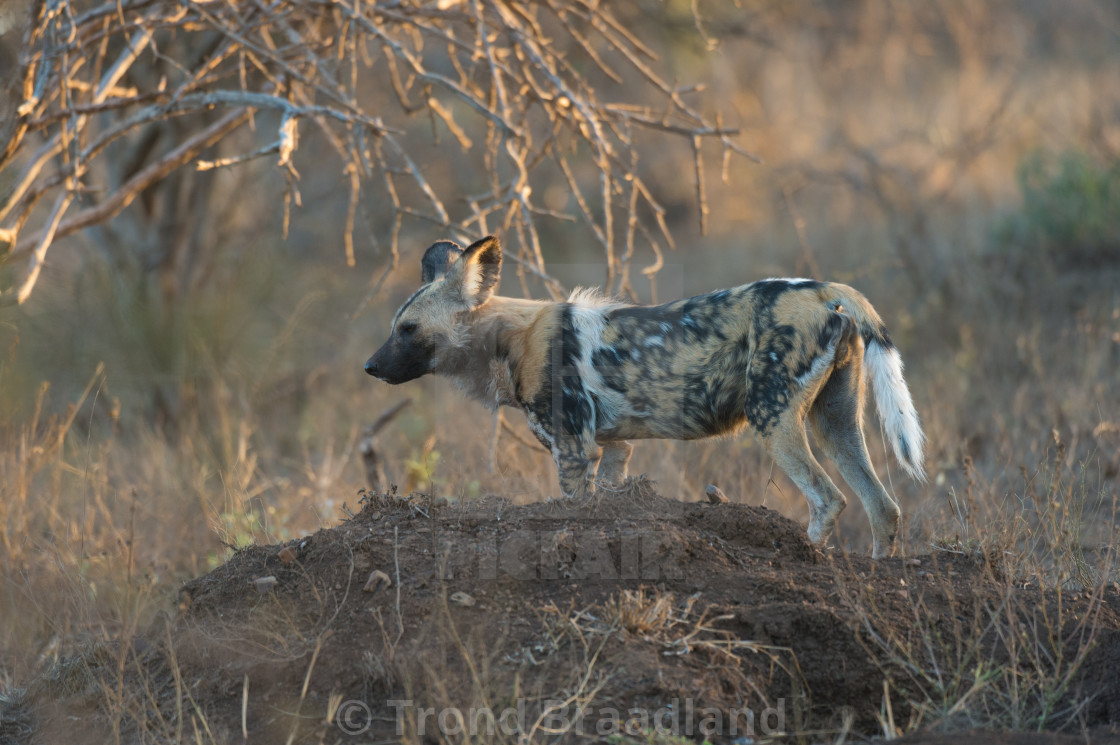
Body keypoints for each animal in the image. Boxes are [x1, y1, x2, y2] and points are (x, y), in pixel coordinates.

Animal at [362, 235, 922, 555]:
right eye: (394, 327)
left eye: (408, 330)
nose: (369, 367)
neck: (510, 338)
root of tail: (826, 288)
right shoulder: (615, 449)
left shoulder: (574, 453)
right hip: (835, 424)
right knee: (883, 507)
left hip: (774, 422)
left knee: (829, 500)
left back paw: (808, 557)